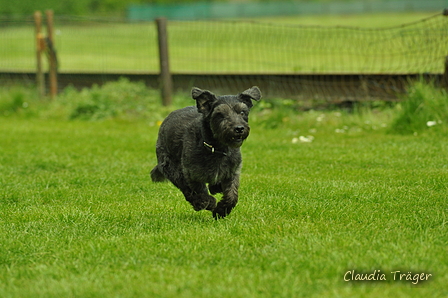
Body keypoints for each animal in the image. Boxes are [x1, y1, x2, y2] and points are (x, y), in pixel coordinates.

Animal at [151, 86, 260, 219]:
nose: (239, 128)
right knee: (186, 189)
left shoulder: (232, 172)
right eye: (220, 114)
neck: (217, 149)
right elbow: (197, 190)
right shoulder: (190, 174)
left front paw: (221, 210)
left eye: (242, 112)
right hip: (169, 166)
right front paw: (207, 202)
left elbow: (232, 195)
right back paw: (199, 203)